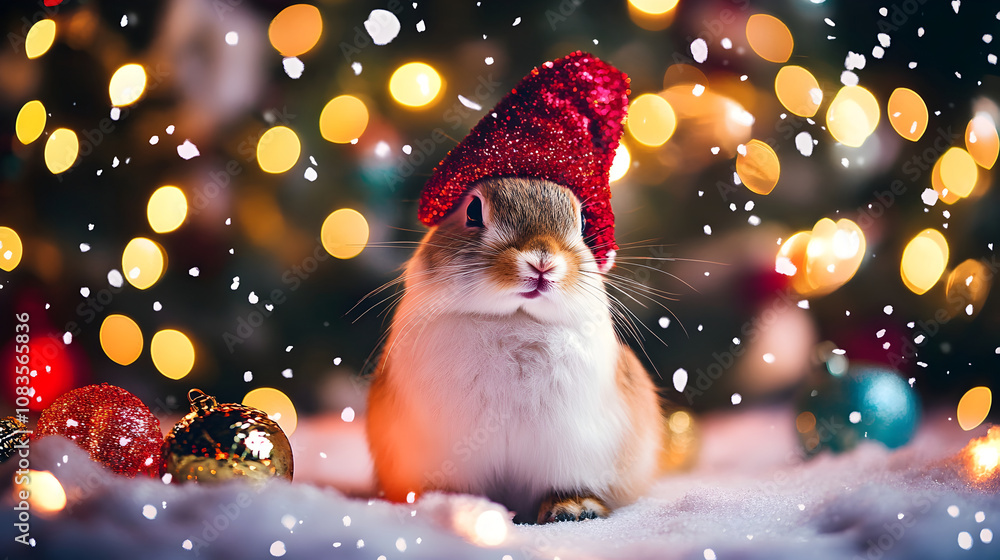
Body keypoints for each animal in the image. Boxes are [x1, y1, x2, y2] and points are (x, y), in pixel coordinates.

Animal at [366, 176, 664, 524]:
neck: (515, 317)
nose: (542, 261)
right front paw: (459, 507)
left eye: (583, 222)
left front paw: (573, 509)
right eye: (473, 211)